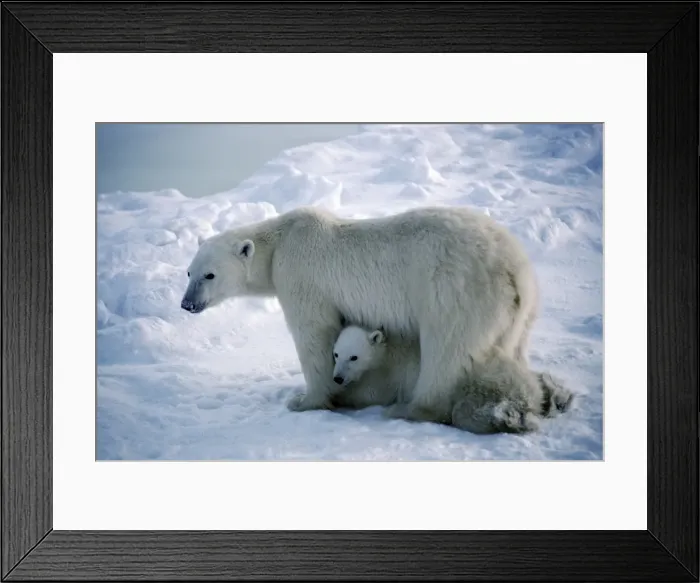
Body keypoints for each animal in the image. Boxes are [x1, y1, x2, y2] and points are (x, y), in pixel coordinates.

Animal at [181, 205, 539, 425]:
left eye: (209, 275)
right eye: (188, 272)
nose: (187, 304)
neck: (280, 241)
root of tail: (513, 268)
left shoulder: (301, 275)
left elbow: (314, 334)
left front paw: (305, 400)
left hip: (454, 291)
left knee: (447, 349)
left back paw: (410, 409)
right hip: (517, 311)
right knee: (509, 348)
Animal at [330, 324, 575, 434]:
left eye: (353, 357)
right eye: (336, 354)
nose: (337, 378)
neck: (388, 350)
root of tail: (527, 395)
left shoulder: (390, 373)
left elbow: (369, 393)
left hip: (479, 387)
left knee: (466, 413)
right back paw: (556, 394)